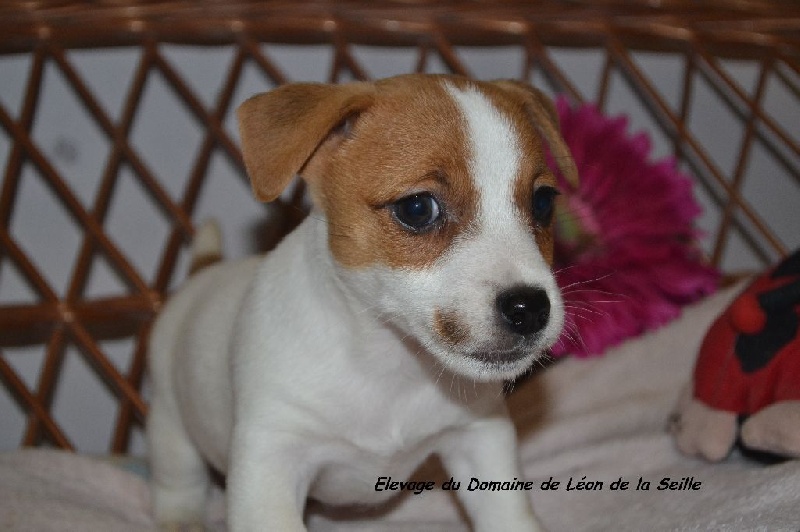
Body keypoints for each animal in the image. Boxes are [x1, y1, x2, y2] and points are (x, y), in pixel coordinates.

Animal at [147, 75, 580, 532]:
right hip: (170, 427)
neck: (389, 364)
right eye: (417, 208)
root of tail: (204, 272)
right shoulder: (271, 464)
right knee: (178, 481)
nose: (530, 309)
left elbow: (508, 515)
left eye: (543, 202)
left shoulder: (480, 437)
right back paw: (181, 519)